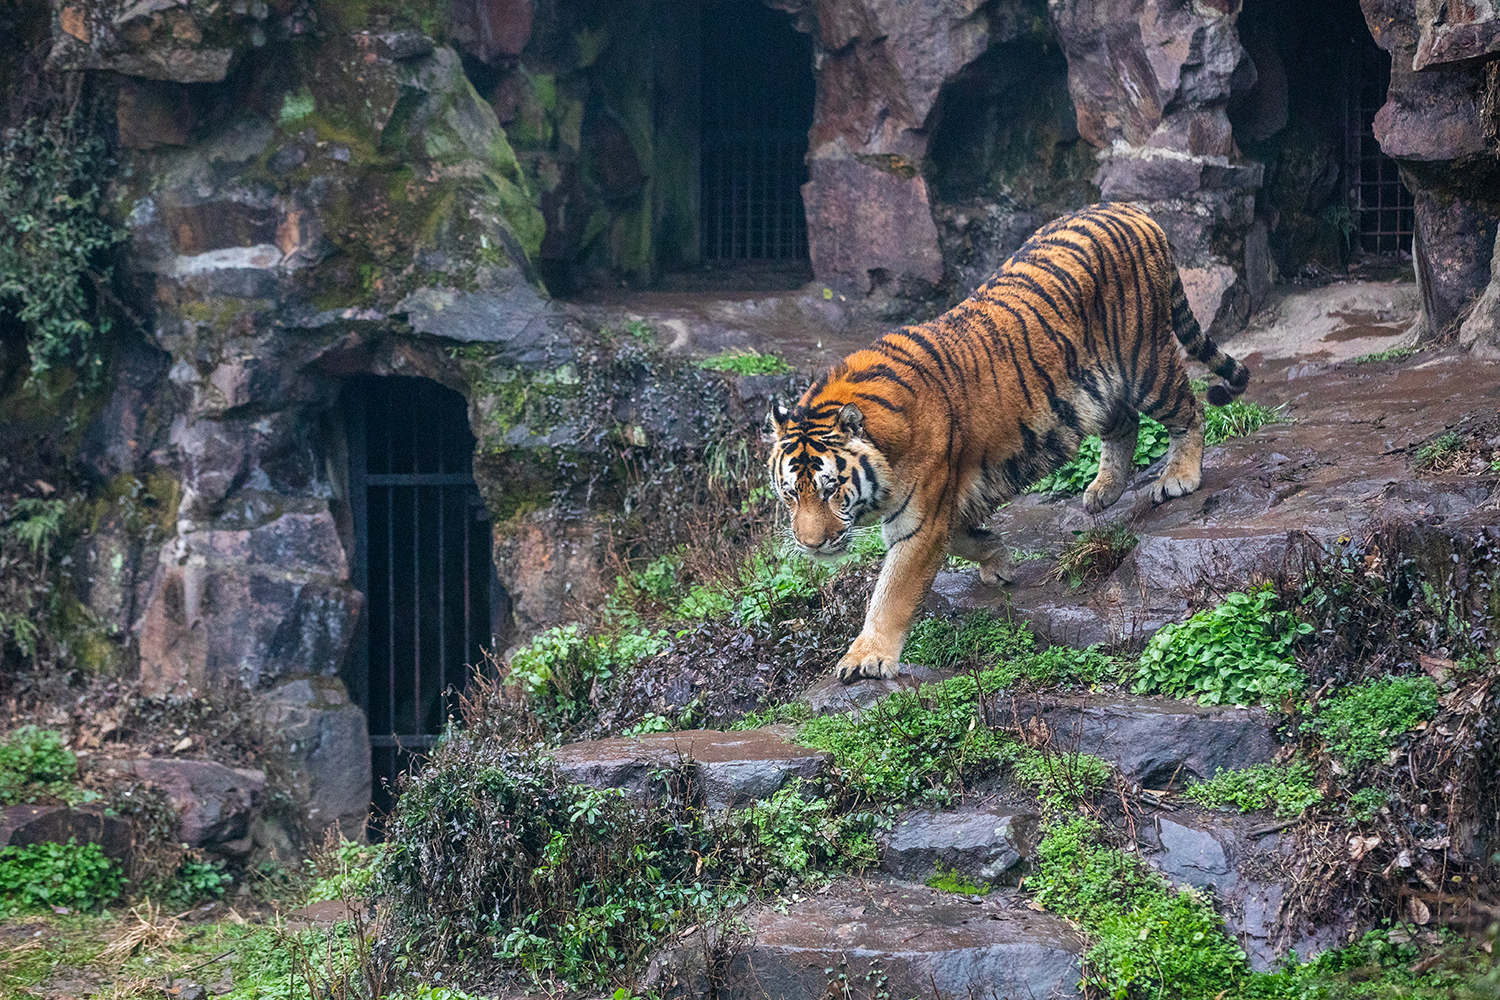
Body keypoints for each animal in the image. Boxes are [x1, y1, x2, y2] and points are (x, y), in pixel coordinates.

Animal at [768, 203, 1248, 689]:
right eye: (791, 494)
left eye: (831, 489)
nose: (810, 545)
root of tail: (1128, 208)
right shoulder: (945, 504)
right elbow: (964, 540)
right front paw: (998, 560)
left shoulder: (921, 520)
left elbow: (893, 592)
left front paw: (867, 658)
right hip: (1091, 390)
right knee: (1125, 423)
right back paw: (1104, 491)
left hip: (1145, 361)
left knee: (1190, 410)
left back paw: (1179, 477)